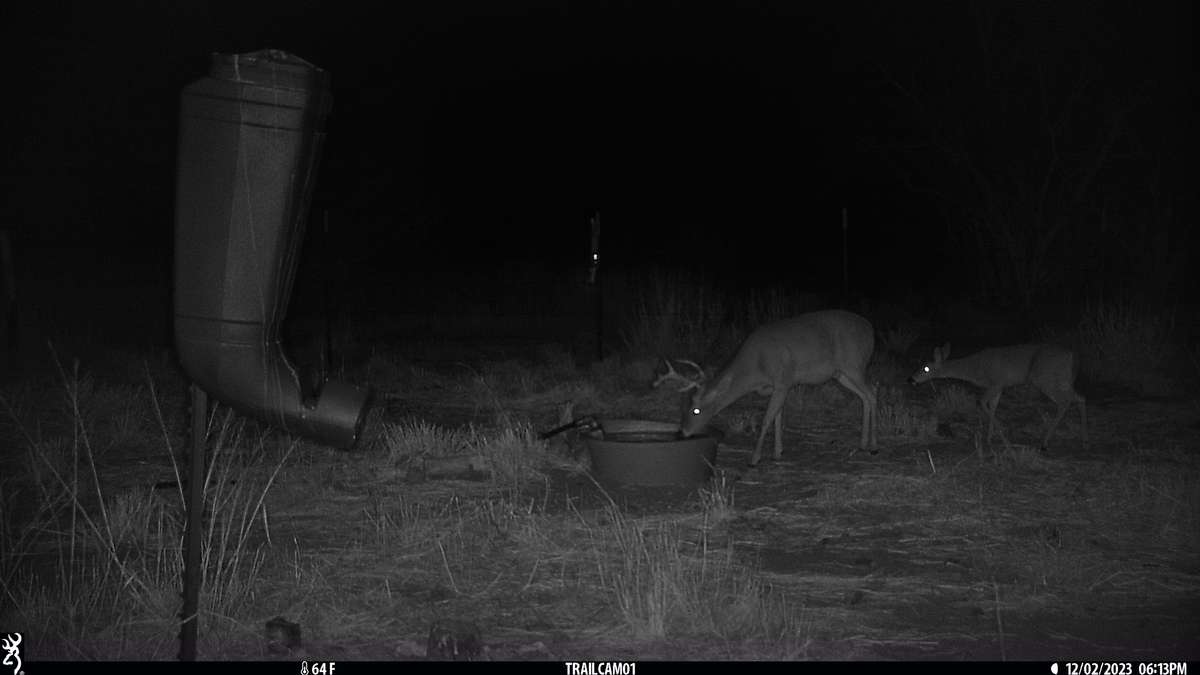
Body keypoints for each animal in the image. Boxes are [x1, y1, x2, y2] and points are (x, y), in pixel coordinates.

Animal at [654, 310, 878, 466]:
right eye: (682, 408)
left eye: (696, 410)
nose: (682, 433)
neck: (755, 369)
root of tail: (870, 329)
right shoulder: (778, 386)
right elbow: (778, 417)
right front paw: (778, 452)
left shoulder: (783, 380)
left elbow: (767, 420)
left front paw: (754, 459)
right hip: (841, 374)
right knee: (865, 397)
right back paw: (863, 443)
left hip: (854, 364)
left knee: (873, 394)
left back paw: (871, 446)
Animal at [908, 343, 1088, 450]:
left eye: (925, 368)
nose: (912, 379)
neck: (975, 369)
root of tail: (1073, 356)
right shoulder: (999, 386)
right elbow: (993, 406)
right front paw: (990, 438)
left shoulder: (995, 383)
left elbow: (981, 402)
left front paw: (1003, 437)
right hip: (1064, 379)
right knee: (1080, 398)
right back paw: (1083, 438)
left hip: (1045, 378)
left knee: (1065, 402)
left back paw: (1045, 442)